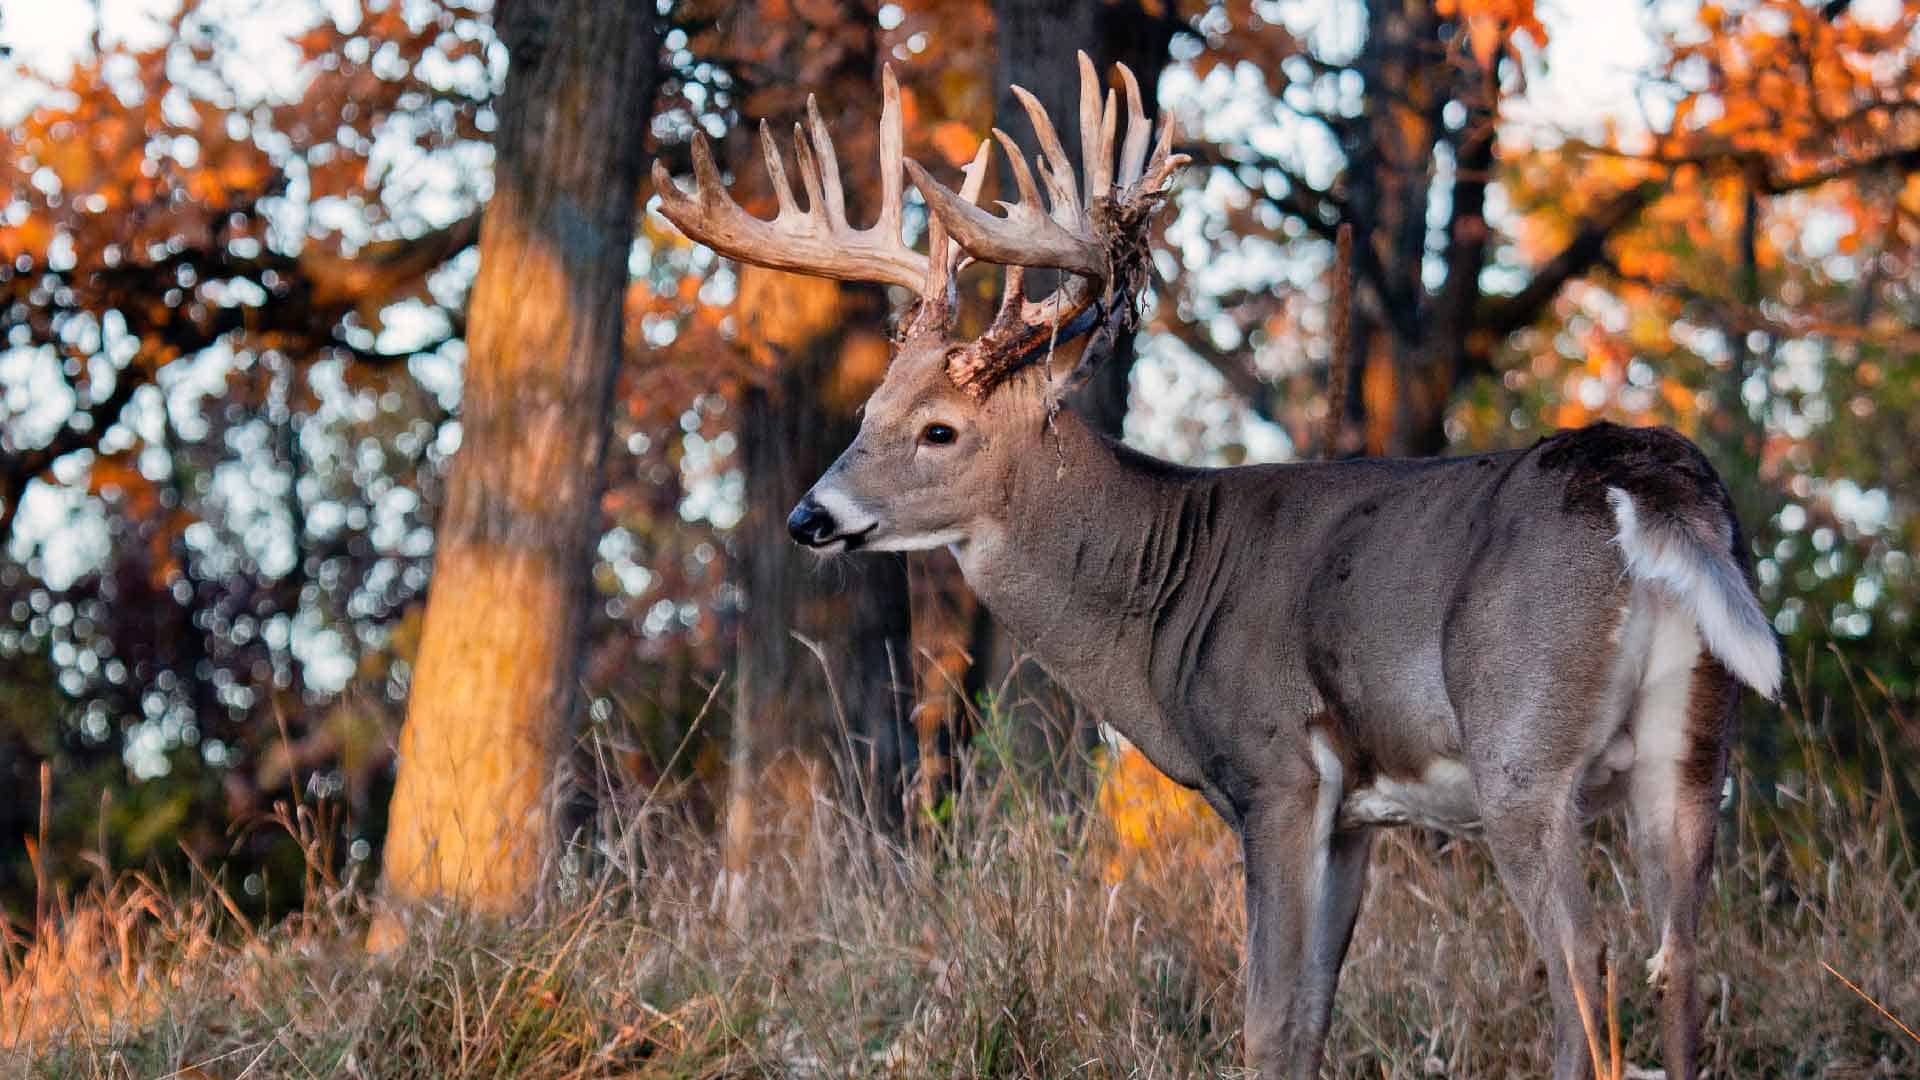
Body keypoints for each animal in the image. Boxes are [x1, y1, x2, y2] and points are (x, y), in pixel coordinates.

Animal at [652, 56, 1774, 1076]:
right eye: (866, 412)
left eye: (939, 430)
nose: (810, 515)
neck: (1167, 586)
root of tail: (1656, 482)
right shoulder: (1357, 813)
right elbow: (1313, 1016)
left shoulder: (1275, 768)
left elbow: (1267, 1020)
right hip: (1692, 748)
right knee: (1681, 962)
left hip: (1523, 745)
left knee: (1585, 962)